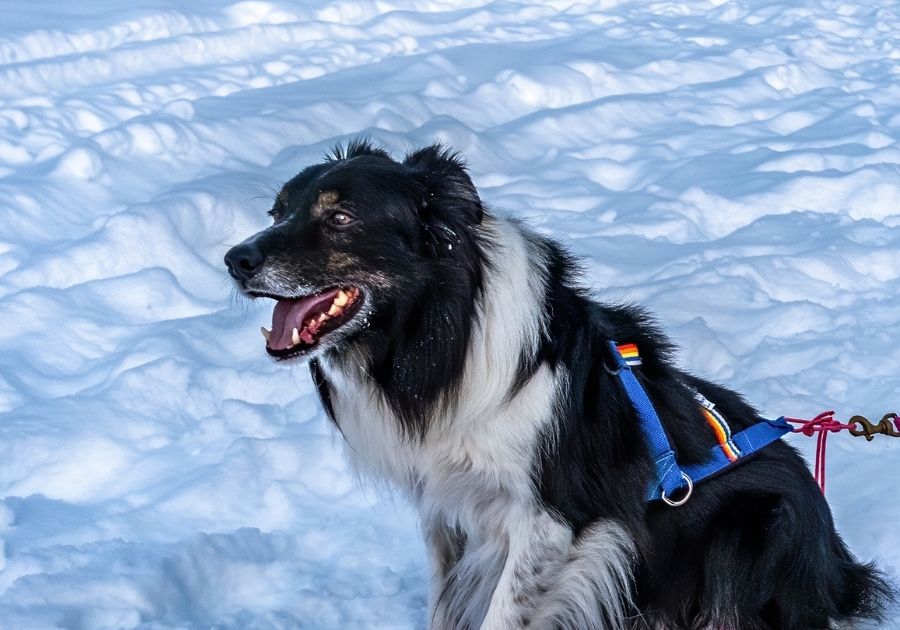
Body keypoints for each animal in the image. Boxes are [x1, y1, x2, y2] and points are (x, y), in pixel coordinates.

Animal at [227, 141, 892, 628]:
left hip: (754, 529)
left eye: (340, 217)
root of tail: (840, 570)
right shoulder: (450, 515)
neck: (438, 332)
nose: (235, 260)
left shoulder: (551, 523)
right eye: (277, 212)